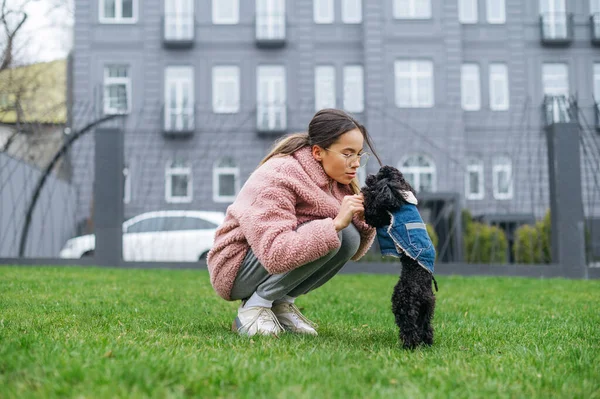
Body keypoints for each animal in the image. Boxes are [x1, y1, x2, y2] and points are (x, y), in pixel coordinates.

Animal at [360, 166, 436, 350]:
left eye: (377, 178)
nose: (368, 177)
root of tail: (422, 291)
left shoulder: (380, 214)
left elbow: (372, 213)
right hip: (427, 308)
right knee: (426, 327)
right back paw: (426, 344)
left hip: (403, 303)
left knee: (409, 327)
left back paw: (409, 345)